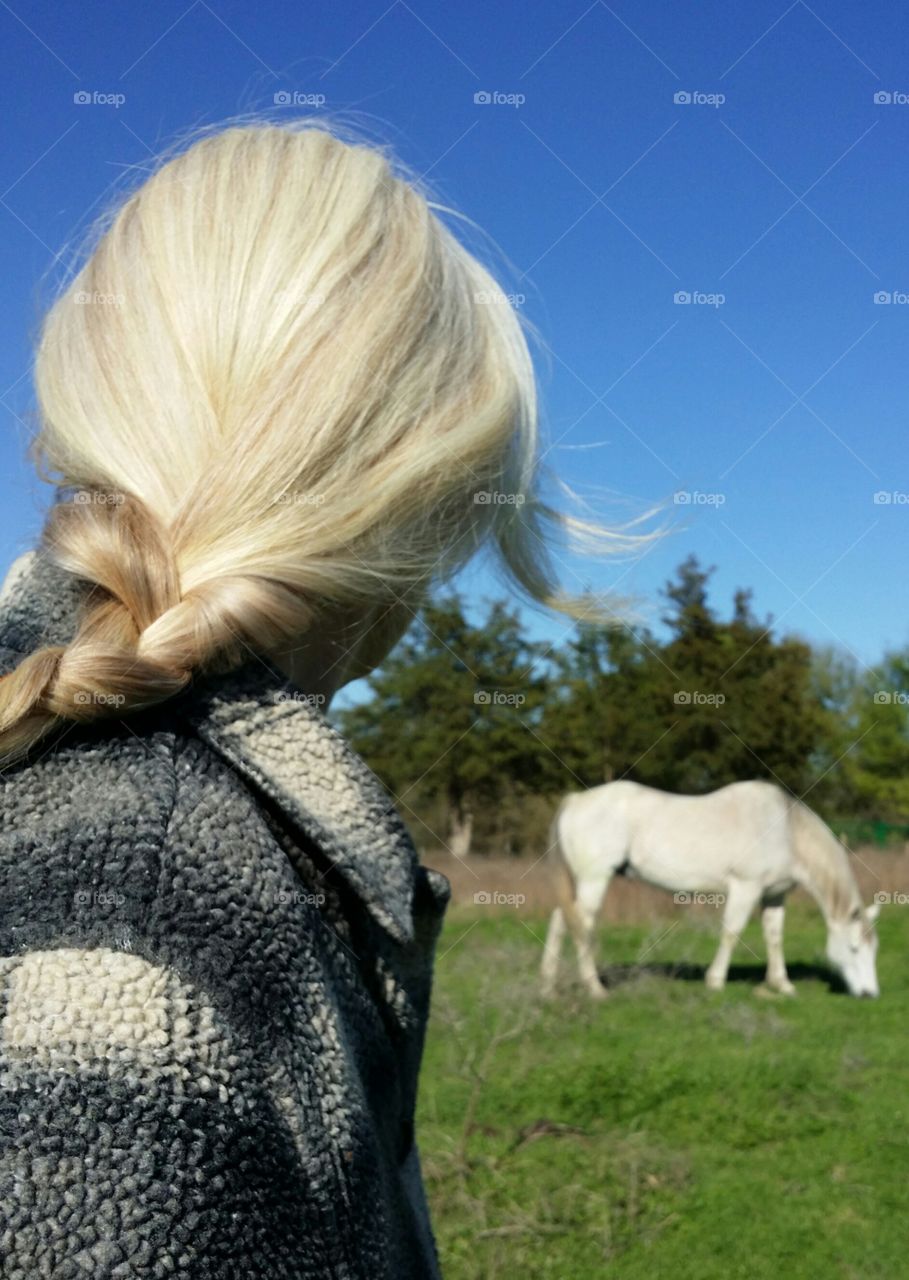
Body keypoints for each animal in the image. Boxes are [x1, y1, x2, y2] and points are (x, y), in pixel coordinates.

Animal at [540, 778, 880, 998]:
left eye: (873, 948)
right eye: (854, 948)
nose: (869, 993)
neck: (786, 831)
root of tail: (576, 800)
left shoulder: (774, 895)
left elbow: (774, 937)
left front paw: (781, 984)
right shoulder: (745, 888)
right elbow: (731, 933)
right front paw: (715, 981)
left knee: (560, 922)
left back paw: (548, 986)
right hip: (594, 880)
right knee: (582, 925)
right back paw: (594, 988)